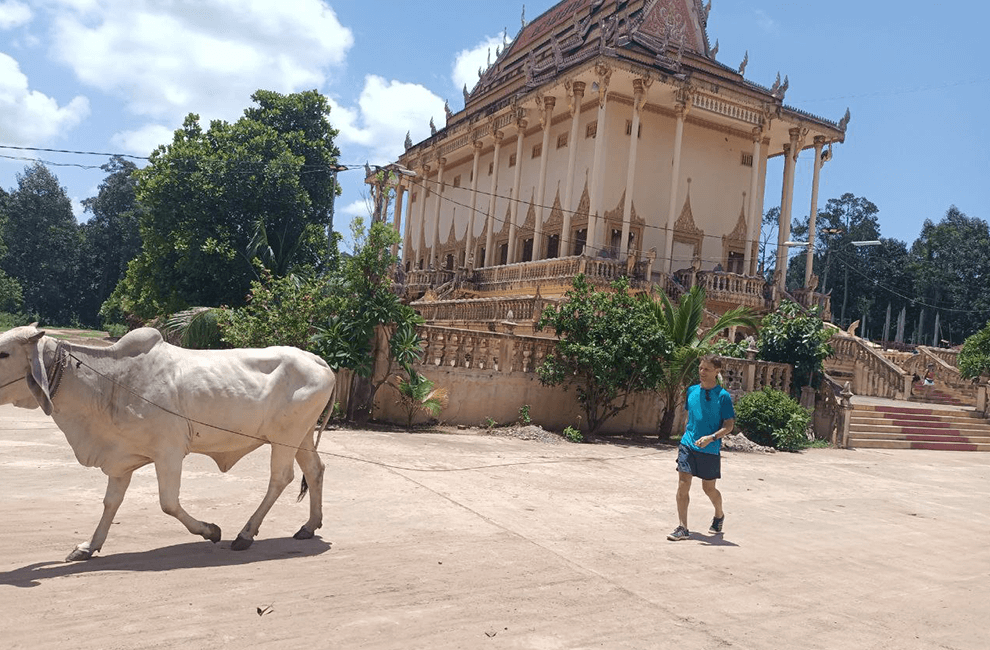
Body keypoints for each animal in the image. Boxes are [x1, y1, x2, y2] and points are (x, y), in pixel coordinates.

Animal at [0, 324, 338, 556]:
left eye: (4, 352)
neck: (109, 382)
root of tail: (317, 360)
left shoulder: (169, 452)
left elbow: (168, 503)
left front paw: (211, 531)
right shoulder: (120, 459)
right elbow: (111, 503)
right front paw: (88, 546)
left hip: (286, 436)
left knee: (281, 478)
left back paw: (245, 534)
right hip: (301, 436)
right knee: (314, 470)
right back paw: (309, 526)